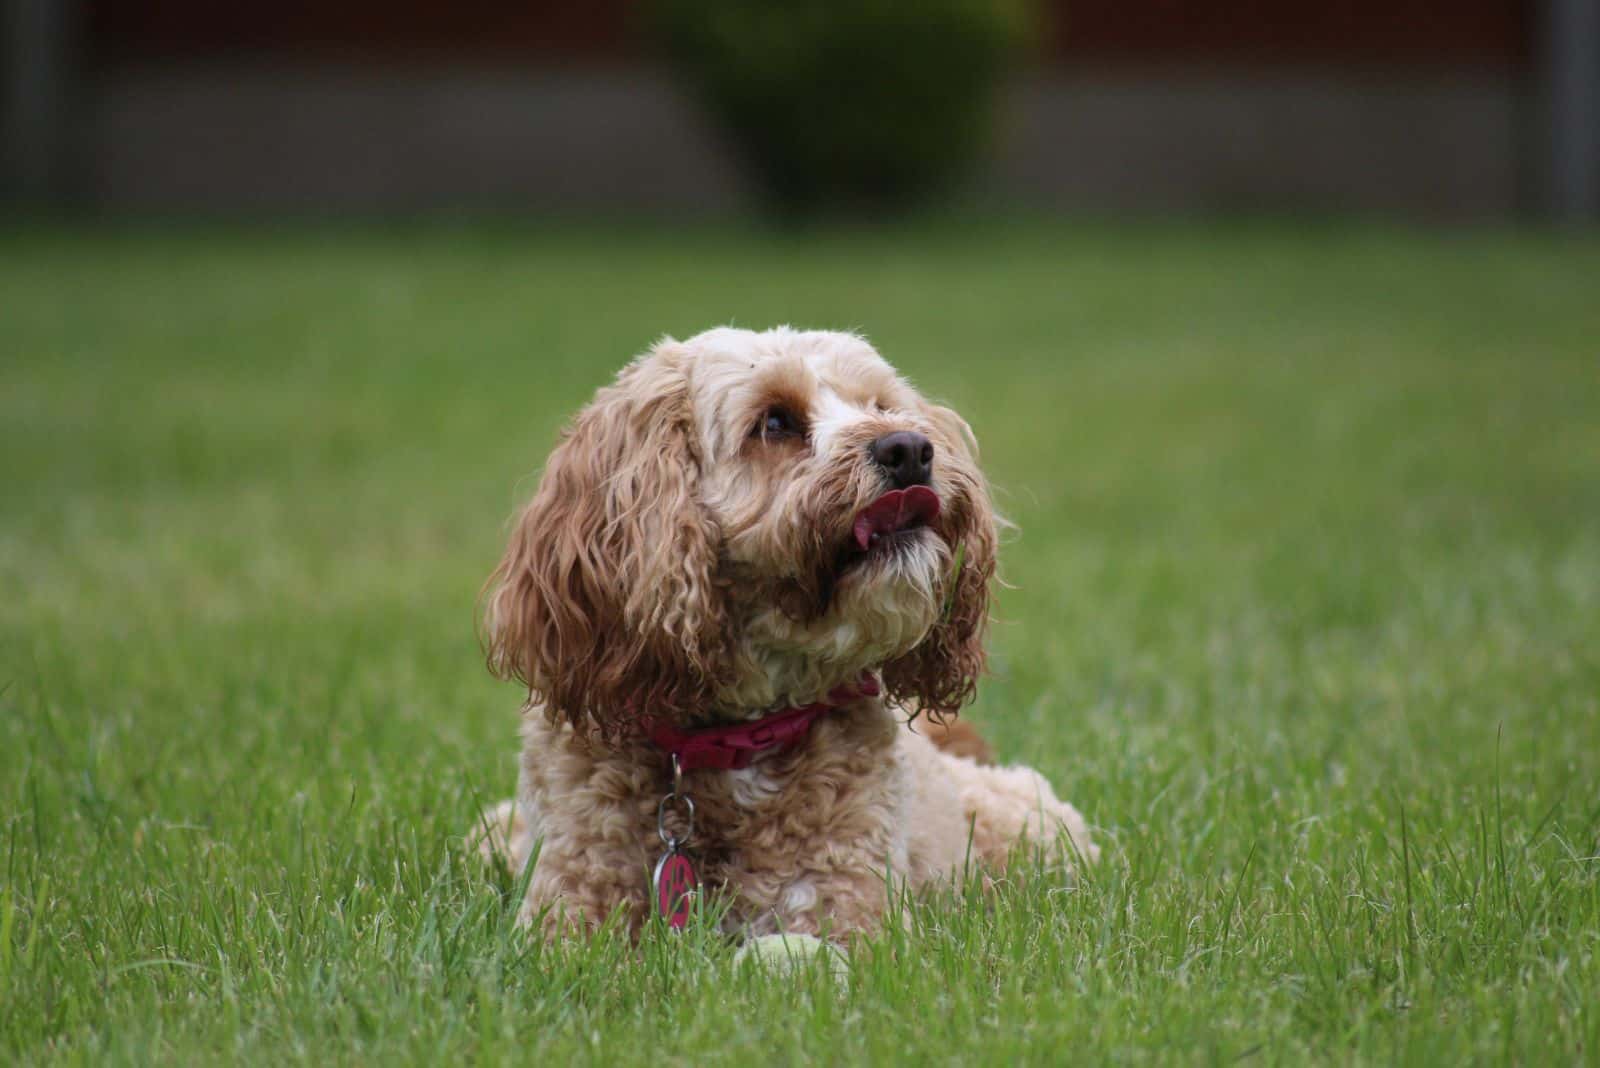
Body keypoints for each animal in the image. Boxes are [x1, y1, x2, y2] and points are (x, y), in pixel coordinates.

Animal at [473, 327, 1094, 940]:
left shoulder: (851, 909)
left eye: (881, 406)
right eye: (775, 422)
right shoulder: (563, 911)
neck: (730, 740)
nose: (910, 449)